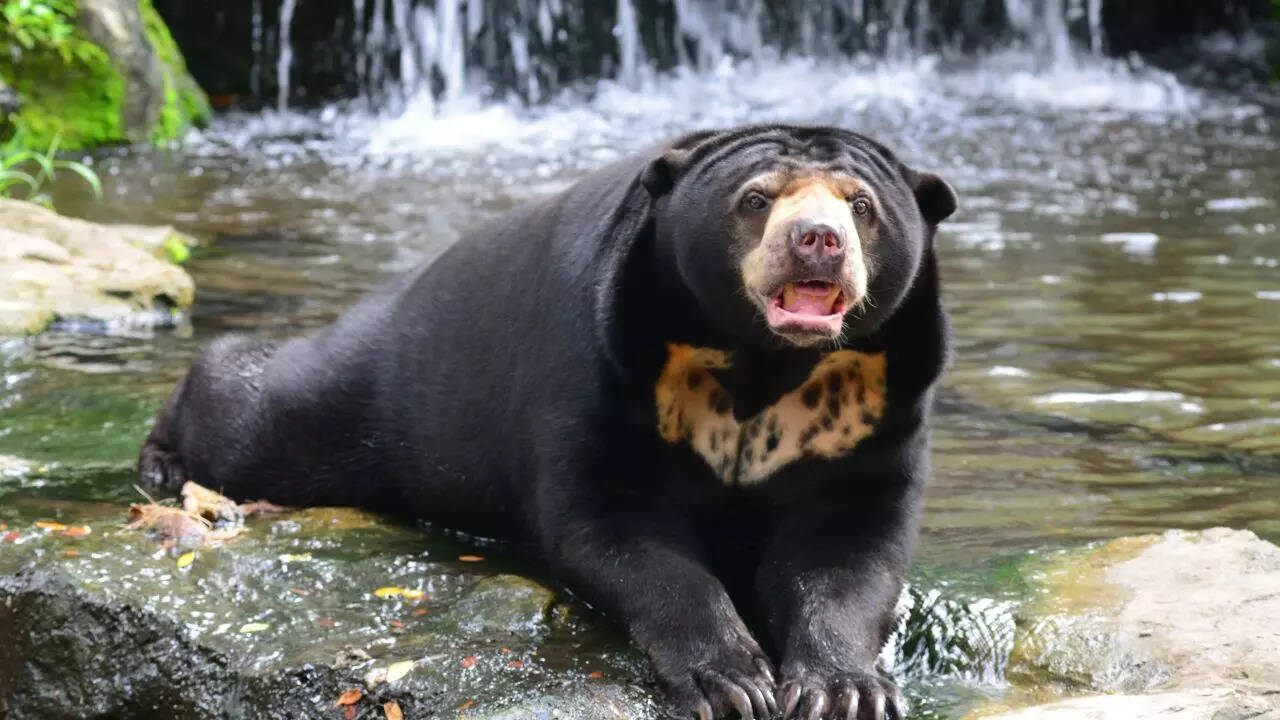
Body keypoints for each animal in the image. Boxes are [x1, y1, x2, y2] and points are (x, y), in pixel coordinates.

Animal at [138, 124, 956, 720]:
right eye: (755, 200)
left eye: (860, 206)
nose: (817, 238)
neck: (765, 361)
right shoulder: (603, 366)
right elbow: (616, 530)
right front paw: (731, 682)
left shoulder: (876, 407)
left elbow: (847, 551)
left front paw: (842, 690)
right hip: (366, 396)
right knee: (258, 410)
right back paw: (163, 458)